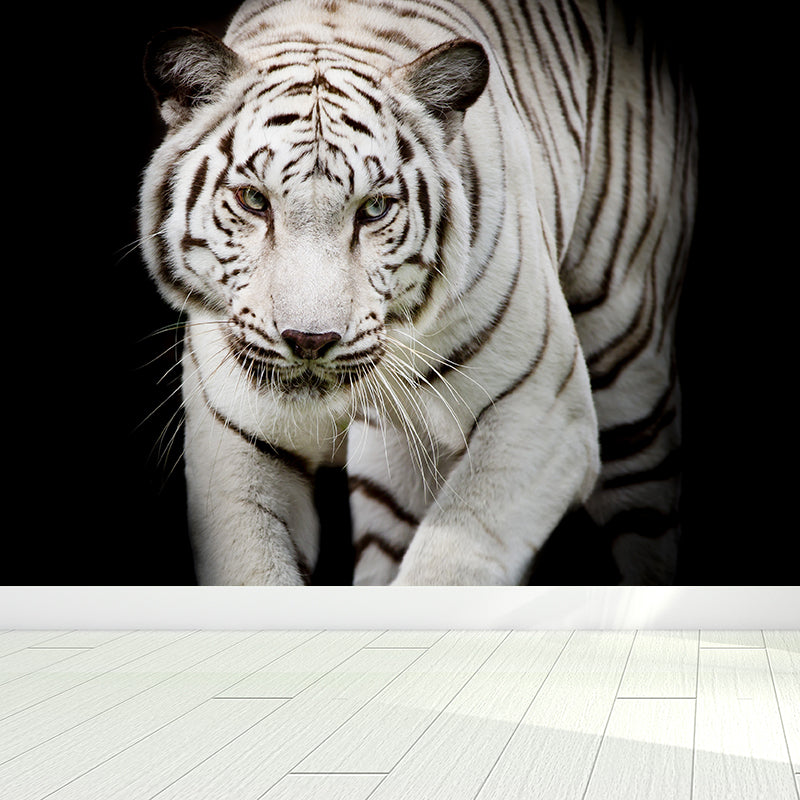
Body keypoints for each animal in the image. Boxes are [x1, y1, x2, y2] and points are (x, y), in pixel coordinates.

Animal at [139, 0, 697, 586]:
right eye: (253, 200)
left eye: (374, 209)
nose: (310, 340)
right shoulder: (236, 443)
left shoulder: (541, 408)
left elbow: (449, 563)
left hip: (632, 377)